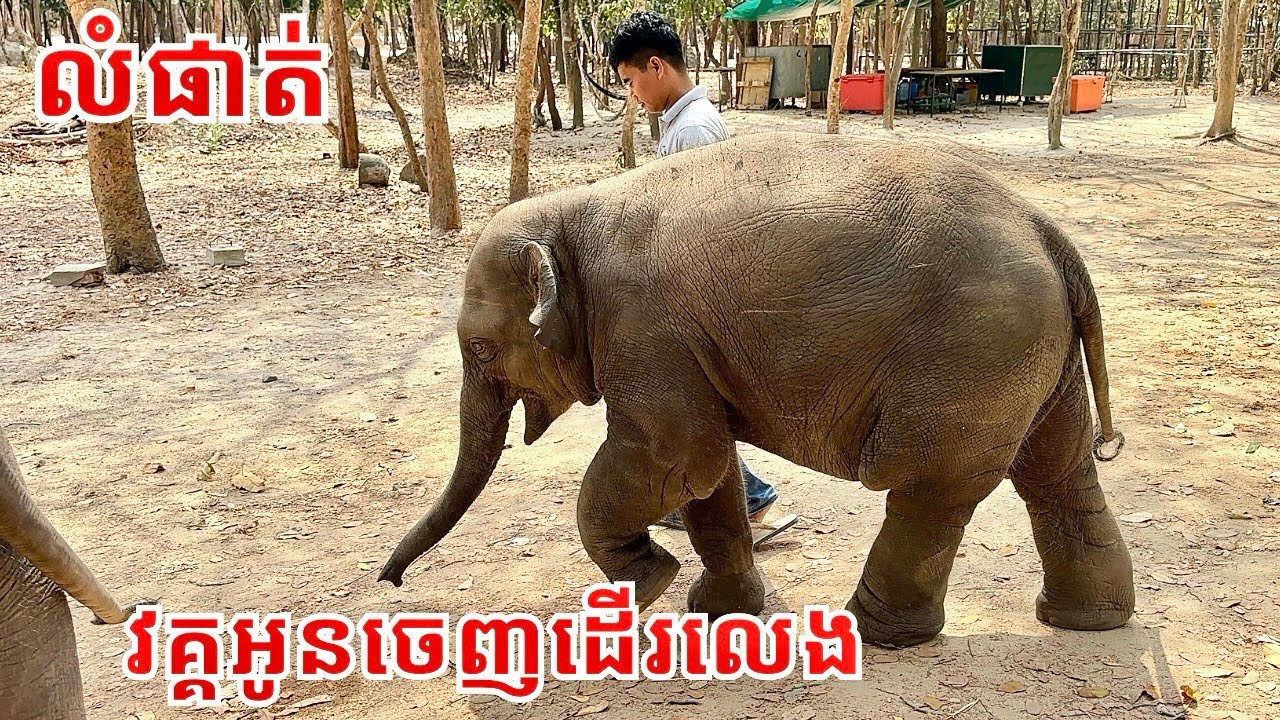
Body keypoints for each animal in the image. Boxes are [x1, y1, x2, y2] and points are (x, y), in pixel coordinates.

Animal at [379, 131, 1135, 647]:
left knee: (929, 488)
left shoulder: (645, 328)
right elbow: (706, 474)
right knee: (1056, 472)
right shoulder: (680, 349)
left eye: (481, 349)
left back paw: (874, 634)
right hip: (1032, 356)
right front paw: (716, 614)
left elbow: (680, 456)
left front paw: (650, 581)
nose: (387, 584)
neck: (571, 212)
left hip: (973, 355)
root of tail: (1045, 230)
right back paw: (1085, 621)